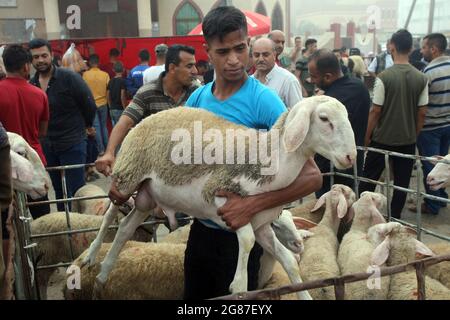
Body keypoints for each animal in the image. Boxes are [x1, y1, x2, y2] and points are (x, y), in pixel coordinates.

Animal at [81, 95, 356, 300]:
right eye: (324, 119)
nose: (351, 157)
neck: (265, 158)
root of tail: (153, 115)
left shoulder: (262, 225)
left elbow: (288, 261)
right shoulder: (222, 198)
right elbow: (246, 243)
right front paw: (238, 286)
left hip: (147, 195)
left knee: (126, 228)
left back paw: (103, 273)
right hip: (128, 174)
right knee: (110, 215)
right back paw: (90, 256)